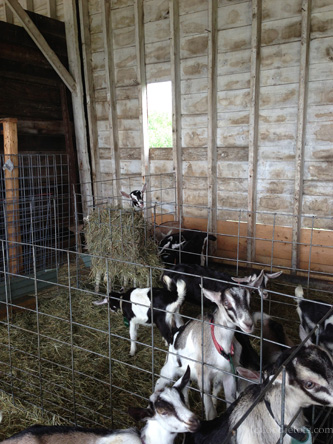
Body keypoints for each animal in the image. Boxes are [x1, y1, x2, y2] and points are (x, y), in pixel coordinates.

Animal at [154, 278, 260, 420]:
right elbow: (210, 411)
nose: (248, 324)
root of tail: (177, 332)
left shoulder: (228, 374)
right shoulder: (203, 376)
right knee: (159, 382)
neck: (221, 347)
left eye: (249, 300)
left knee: (185, 386)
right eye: (226, 303)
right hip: (170, 367)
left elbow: (230, 401)